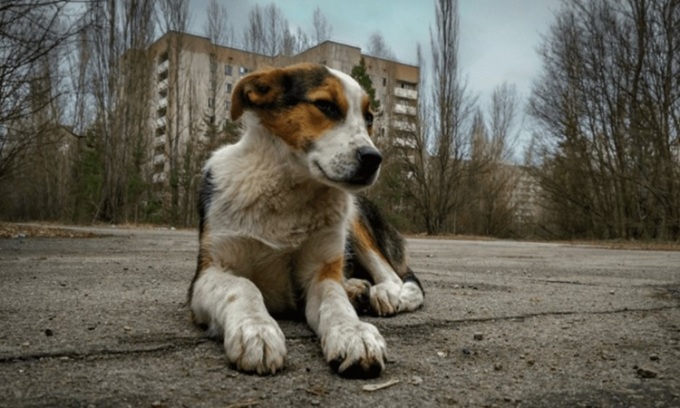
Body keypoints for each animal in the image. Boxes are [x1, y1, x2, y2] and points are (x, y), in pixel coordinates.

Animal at [189, 62, 424, 378]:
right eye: (325, 105)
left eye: (369, 118)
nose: (374, 158)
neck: (289, 191)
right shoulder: (208, 272)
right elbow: (243, 287)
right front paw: (257, 330)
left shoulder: (320, 272)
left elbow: (335, 304)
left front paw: (353, 332)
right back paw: (357, 288)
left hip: (354, 217)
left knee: (396, 276)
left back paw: (386, 293)